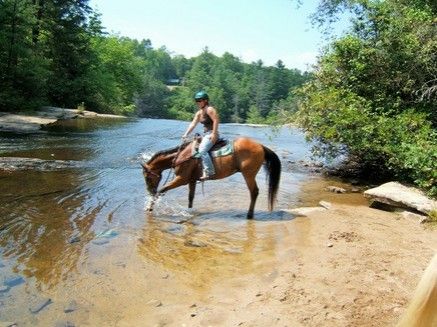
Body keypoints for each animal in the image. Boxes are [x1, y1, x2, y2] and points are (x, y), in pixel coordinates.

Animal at [141, 137, 282, 219]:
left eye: (147, 177)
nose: (150, 191)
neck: (182, 156)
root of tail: (261, 146)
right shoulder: (192, 180)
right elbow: (190, 198)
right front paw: (190, 211)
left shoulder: (181, 179)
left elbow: (162, 190)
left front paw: (150, 208)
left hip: (248, 174)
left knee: (254, 192)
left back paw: (249, 215)